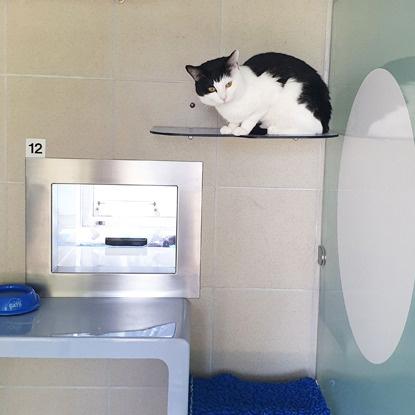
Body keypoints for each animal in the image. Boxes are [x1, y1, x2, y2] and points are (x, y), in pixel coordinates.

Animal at [187, 50, 334, 135]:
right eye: (212, 89)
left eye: (228, 84)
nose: (223, 97)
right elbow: (236, 120)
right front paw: (230, 127)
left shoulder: (267, 100)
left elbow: (250, 118)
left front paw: (243, 129)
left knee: (315, 128)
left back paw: (275, 129)